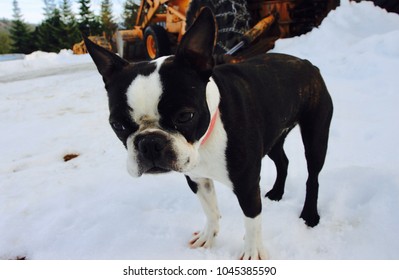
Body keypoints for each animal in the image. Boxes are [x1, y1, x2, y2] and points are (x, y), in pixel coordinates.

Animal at [85, 7, 334, 260]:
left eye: (185, 116)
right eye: (118, 125)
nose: (150, 143)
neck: (204, 141)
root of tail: (307, 64)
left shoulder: (246, 184)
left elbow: (252, 220)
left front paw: (252, 252)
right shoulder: (196, 178)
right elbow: (210, 210)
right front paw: (208, 236)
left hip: (315, 135)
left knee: (313, 176)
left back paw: (310, 214)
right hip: (273, 137)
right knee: (282, 161)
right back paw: (276, 193)